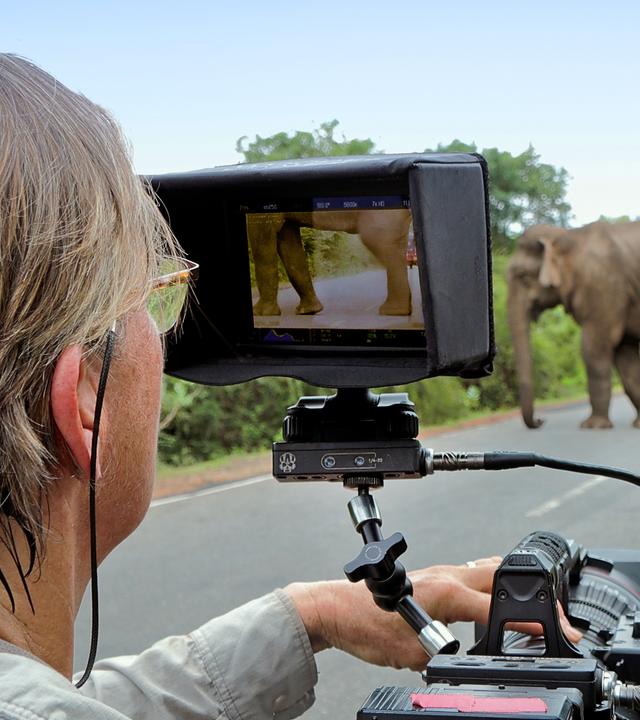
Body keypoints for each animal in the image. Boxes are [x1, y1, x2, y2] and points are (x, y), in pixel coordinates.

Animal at [247, 208, 412, 316]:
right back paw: (399, 310)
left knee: (380, 241)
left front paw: (260, 313)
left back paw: (392, 311)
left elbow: (262, 244)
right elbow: (290, 247)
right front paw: (309, 311)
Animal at [507, 221, 640, 429]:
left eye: (523, 276)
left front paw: (593, 426)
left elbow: (594, 348)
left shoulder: (602, 286)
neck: (565, 236)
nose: (541, 420)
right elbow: (625, 356)